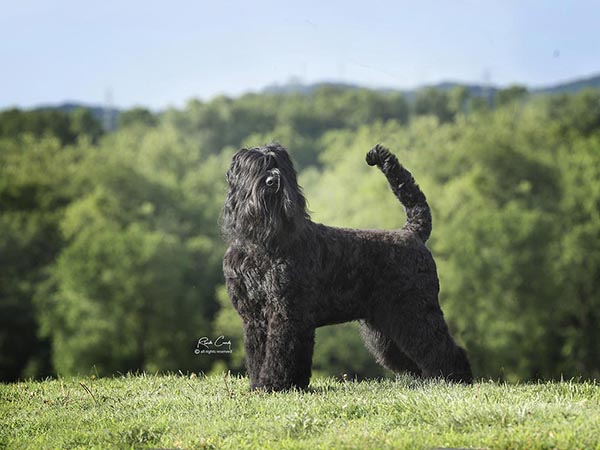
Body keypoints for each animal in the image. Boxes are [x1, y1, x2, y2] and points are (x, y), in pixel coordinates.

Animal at [223, 144, 472, 390]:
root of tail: (413, 232)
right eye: (257, 167)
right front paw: (261, 383)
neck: (262, 243)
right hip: (386, 323)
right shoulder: (254, 317)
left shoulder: (287, 312)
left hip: (414, 311)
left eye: (279, 166)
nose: (273, 181)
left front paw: (274, 384)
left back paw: (454, 378)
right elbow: (259, 353)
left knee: (440, 345)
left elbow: (281, 353)